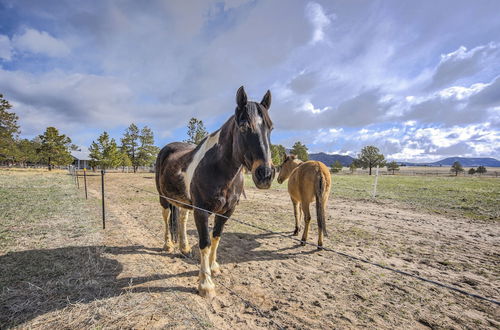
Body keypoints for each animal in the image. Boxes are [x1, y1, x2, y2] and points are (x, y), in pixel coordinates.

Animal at [155, 86, 276, 298]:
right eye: (243, 127)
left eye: (271, 127)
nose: (265, 174)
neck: (218, 169)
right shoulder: (202, 211)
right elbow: (204, 242)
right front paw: (206, 284)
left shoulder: (226, 212)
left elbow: (216, 238)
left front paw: (214, 267)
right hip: (164, 199)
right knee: (166, 217)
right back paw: (168, 245)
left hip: (184, 202)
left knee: (182, 220)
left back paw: (185, 248)